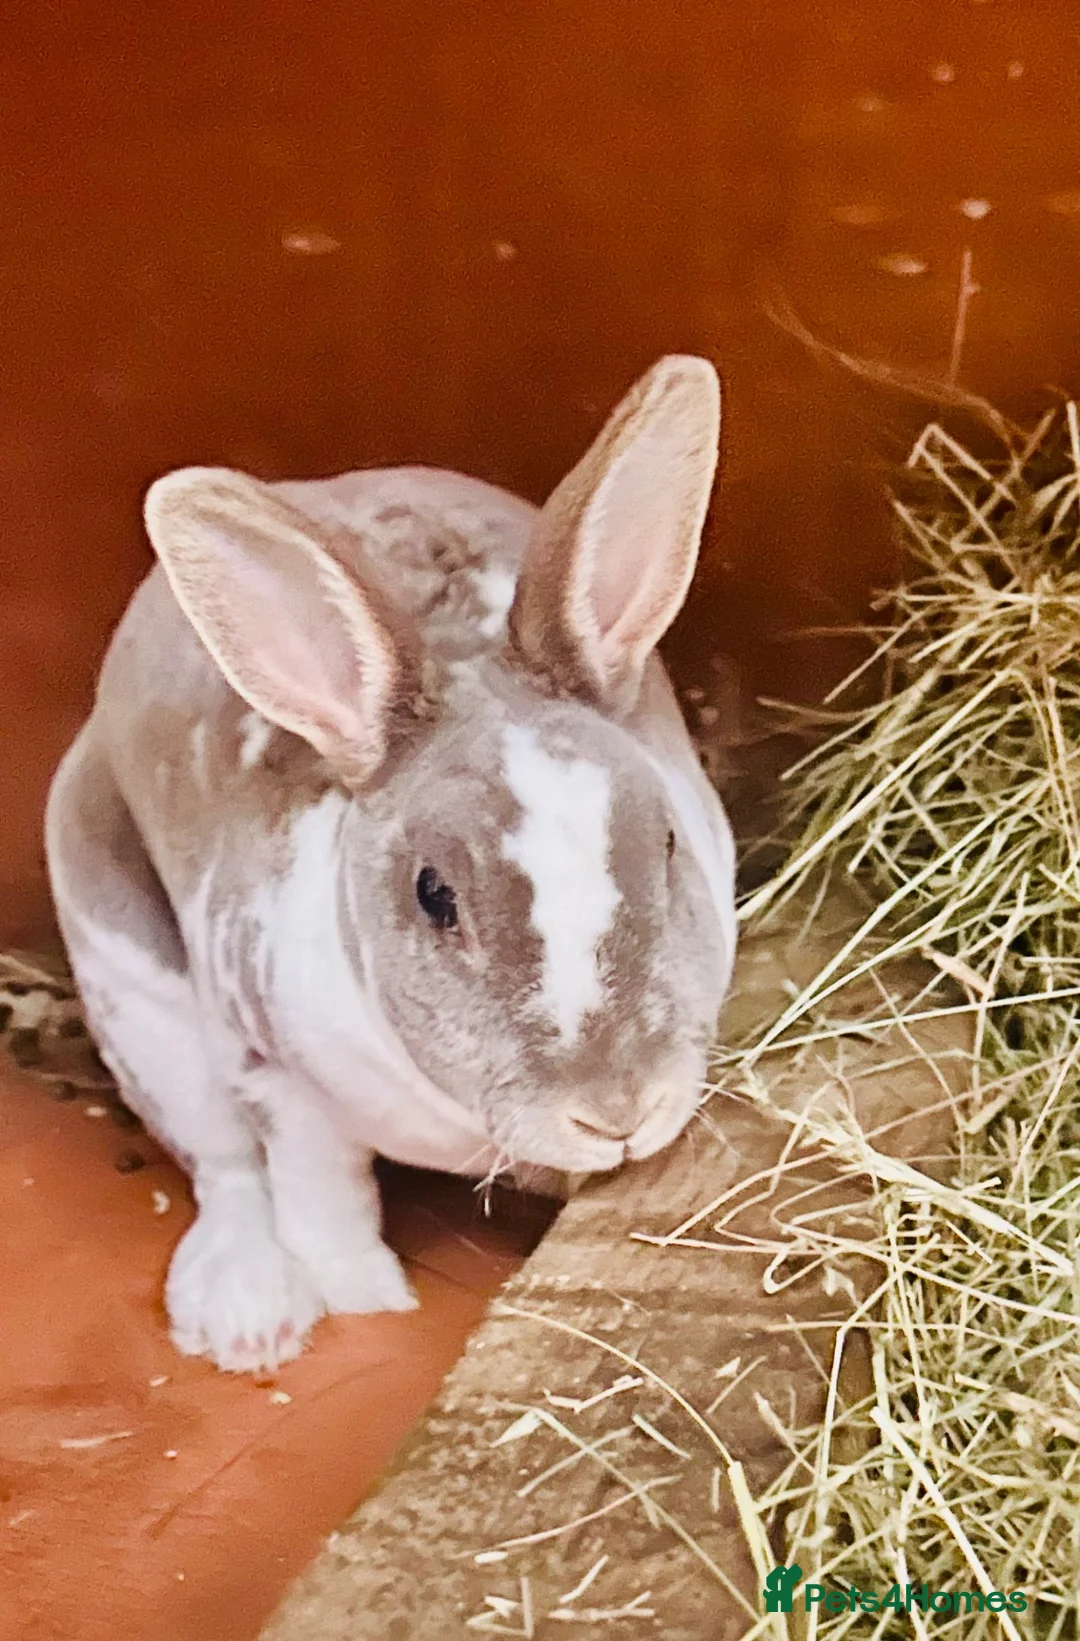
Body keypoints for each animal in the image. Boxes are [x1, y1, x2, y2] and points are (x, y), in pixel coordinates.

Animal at [44, 355, 737, 1374]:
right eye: (433, 894)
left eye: (667, 843)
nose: (616, 1109)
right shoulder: (280, 1078)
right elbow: (318, 1192)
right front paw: (366, 1297)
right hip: (135, 999)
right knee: (221, 1167)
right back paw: (249, 1318)